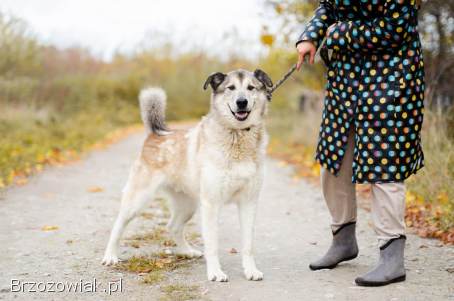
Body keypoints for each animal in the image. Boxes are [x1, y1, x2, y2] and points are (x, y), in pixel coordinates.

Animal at [103, 68, 274, 282]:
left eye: (251, 88)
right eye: (231, 88)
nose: (241, 102)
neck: (237, 136)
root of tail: (156, 134)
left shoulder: (249, 202)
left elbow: (248, 245)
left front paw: (250, 270)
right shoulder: (211, 204)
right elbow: (212, 244)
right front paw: (215, 272)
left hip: (188, 205)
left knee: (173, 226)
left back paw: (187, 251)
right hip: (138, 199)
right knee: (118, 224)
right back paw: (110, 255)